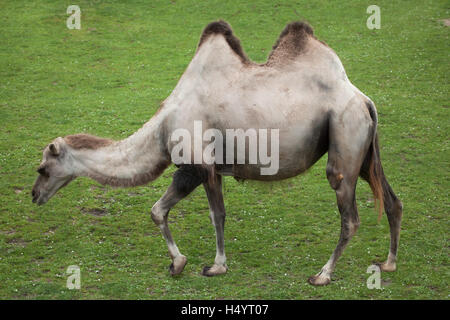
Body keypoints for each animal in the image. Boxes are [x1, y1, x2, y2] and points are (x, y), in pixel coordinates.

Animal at [32, 20, 404, 284]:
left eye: (42, 168)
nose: (35, 195)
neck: (162, 128)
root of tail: (363, 99)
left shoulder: (199, 164)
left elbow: (214, 215)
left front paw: (215, 267)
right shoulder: (198, 168)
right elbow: (159, 210)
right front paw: (178, 264)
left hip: (345, 136)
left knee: (349, 216)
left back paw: (322, 275)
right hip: (364, 150)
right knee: (392, 201)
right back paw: (388, 263)